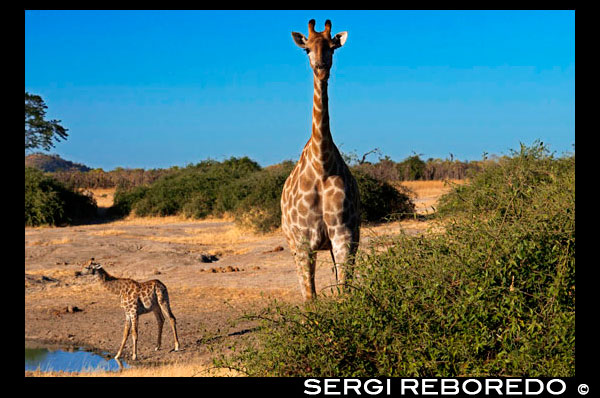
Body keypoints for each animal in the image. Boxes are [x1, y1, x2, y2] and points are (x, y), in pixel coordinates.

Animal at [282, 17, 360, 300]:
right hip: (292, 244)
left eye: (332, 48)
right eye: (307, 49)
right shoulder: (305, 242)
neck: (322, 164)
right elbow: (310, 299)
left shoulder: (344, 236)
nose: (321, 68)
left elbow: (343, 292)